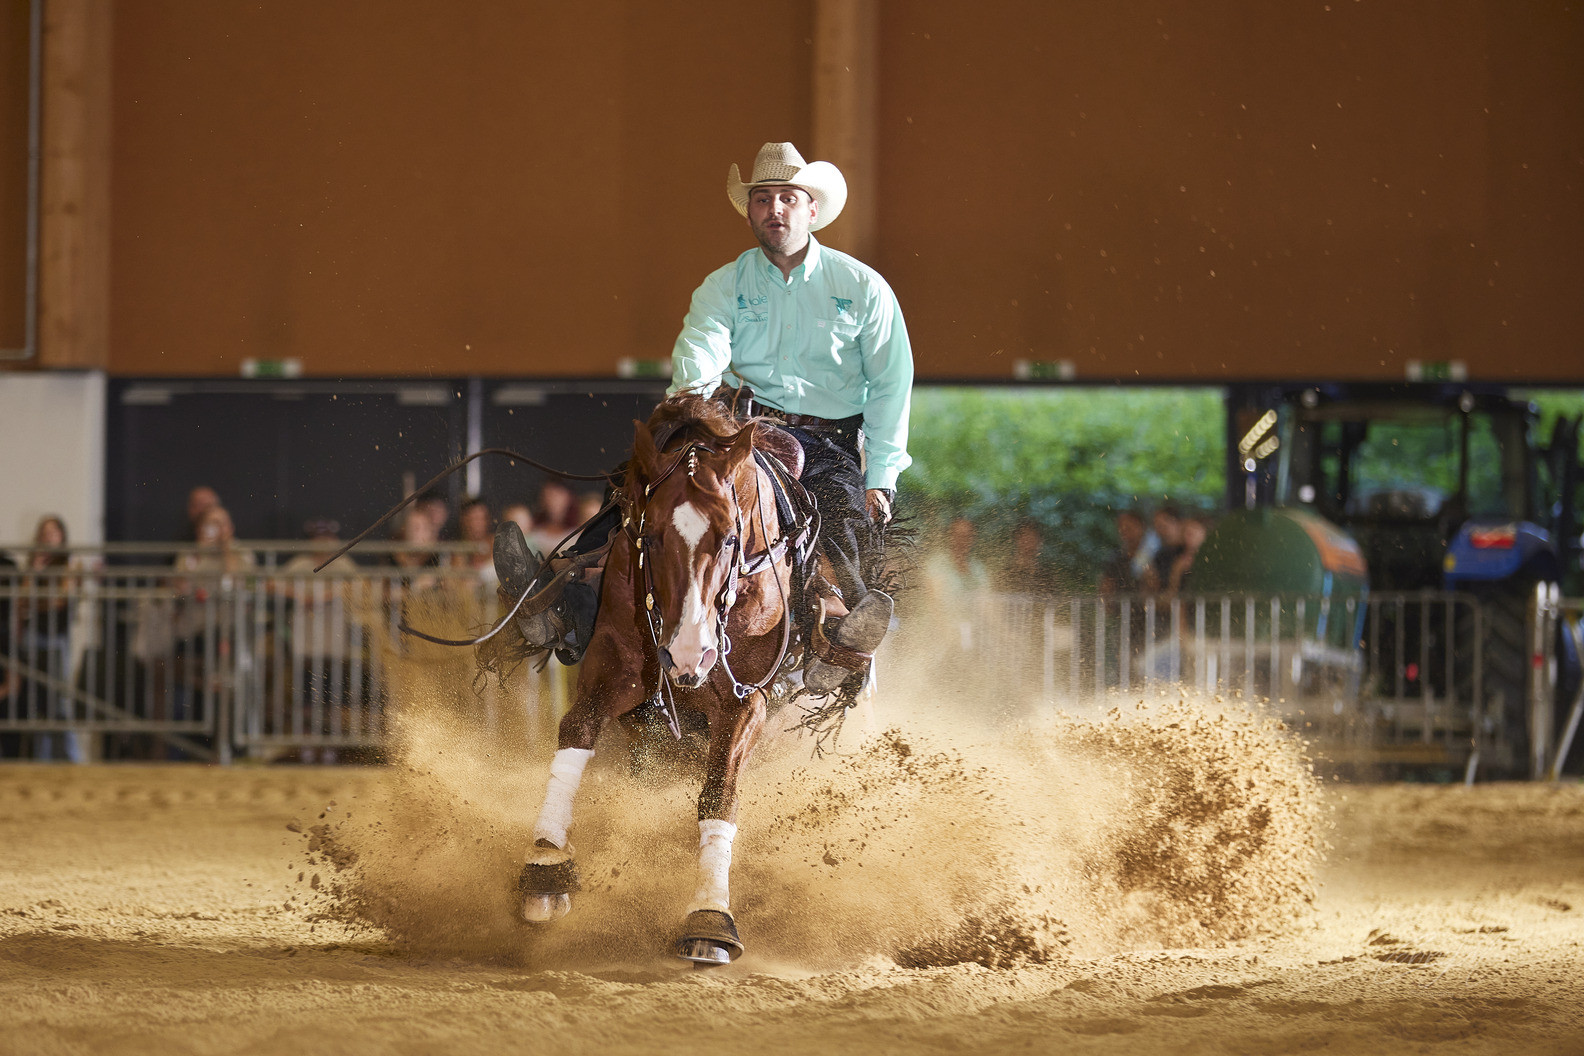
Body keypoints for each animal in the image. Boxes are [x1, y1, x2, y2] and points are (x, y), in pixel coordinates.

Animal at [516, 393, 819, 966]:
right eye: (650, 537)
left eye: (729, 537)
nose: (687, 654)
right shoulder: (614, 669)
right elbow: (575, 733)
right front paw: (545, 867)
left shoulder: (746, 701)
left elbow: (719, 793)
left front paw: (710, 916)